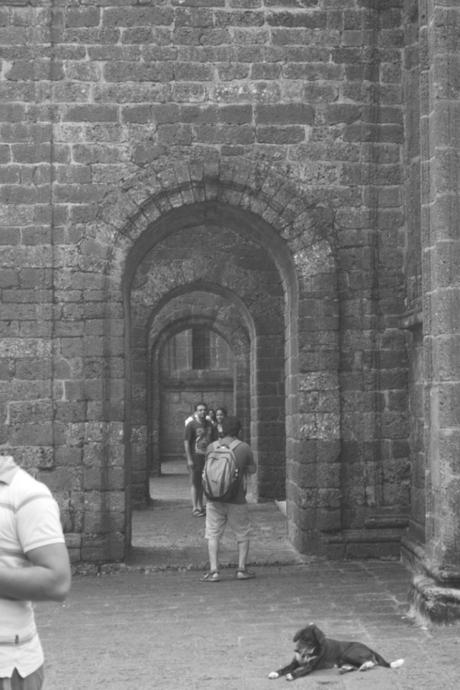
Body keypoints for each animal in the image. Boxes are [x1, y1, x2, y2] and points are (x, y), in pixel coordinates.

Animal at [268, 620, 404, 680]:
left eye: (307, 640)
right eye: (298, 638)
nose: (296, 650)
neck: (308, 653)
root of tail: (369, 648)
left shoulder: (310, 666)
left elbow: (300, 671)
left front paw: (292, 675)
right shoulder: (295, 662)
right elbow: (285, 668)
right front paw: (275, 673)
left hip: (348, 654)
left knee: (371, 661)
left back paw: (365, 666)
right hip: (344, 659)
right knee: (354, 666)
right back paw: (345, 669)